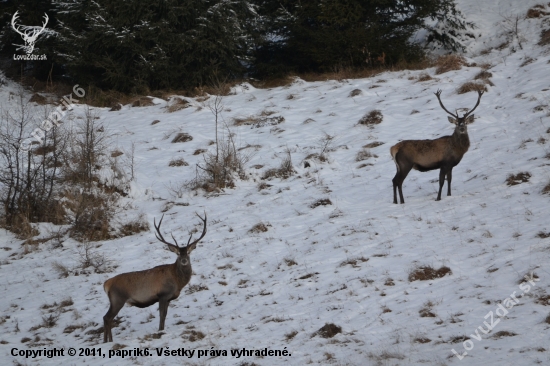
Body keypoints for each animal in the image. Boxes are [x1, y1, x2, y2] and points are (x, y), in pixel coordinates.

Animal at [103, 212, 207, 344]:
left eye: (188, 252)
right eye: (178, 253)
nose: (184, 260)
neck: (177, 282)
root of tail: (107, 283)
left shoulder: (168, 298)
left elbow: (165, 314)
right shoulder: (162, 295)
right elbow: (161, 315)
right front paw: (160, 331)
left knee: (108, 318)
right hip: (117, 299)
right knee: (107, 317)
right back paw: (108, 341)